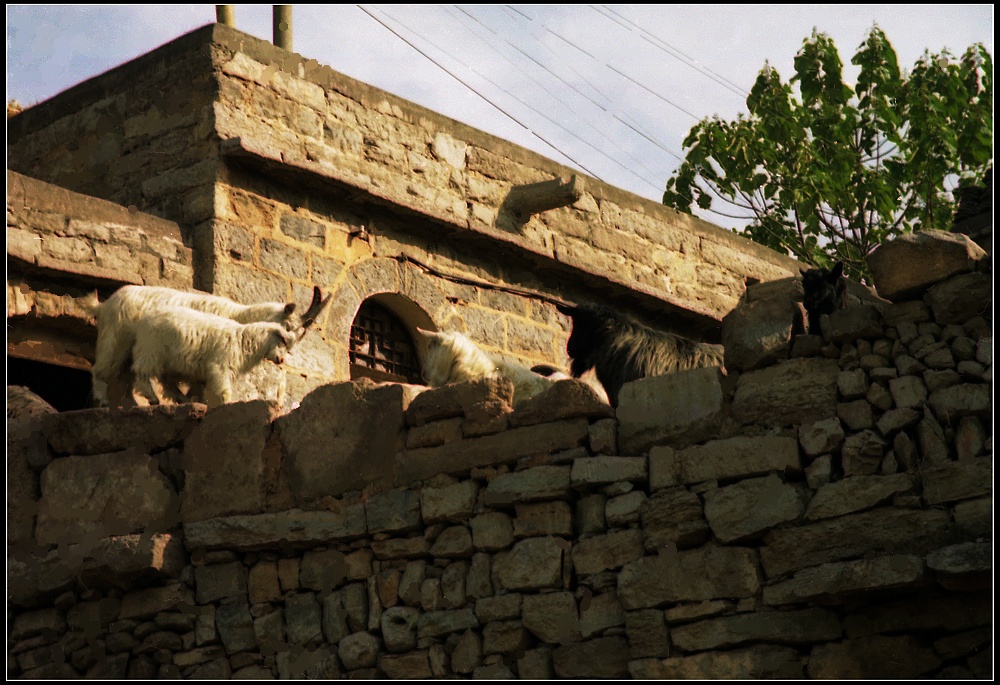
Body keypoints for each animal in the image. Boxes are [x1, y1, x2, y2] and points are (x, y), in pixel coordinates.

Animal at [131, 308, 300, 408]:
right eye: (283, 341)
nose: (281, 361)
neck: (244, 340)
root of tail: (146, 317)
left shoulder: (202, 372)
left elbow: (200, 389)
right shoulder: (220, 367)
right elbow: (223, 390)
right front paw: (226, 403)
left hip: (168, 362)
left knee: (167, 382)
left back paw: (181, 399)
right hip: (151, 351)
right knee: (142, 373)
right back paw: (152, 397)